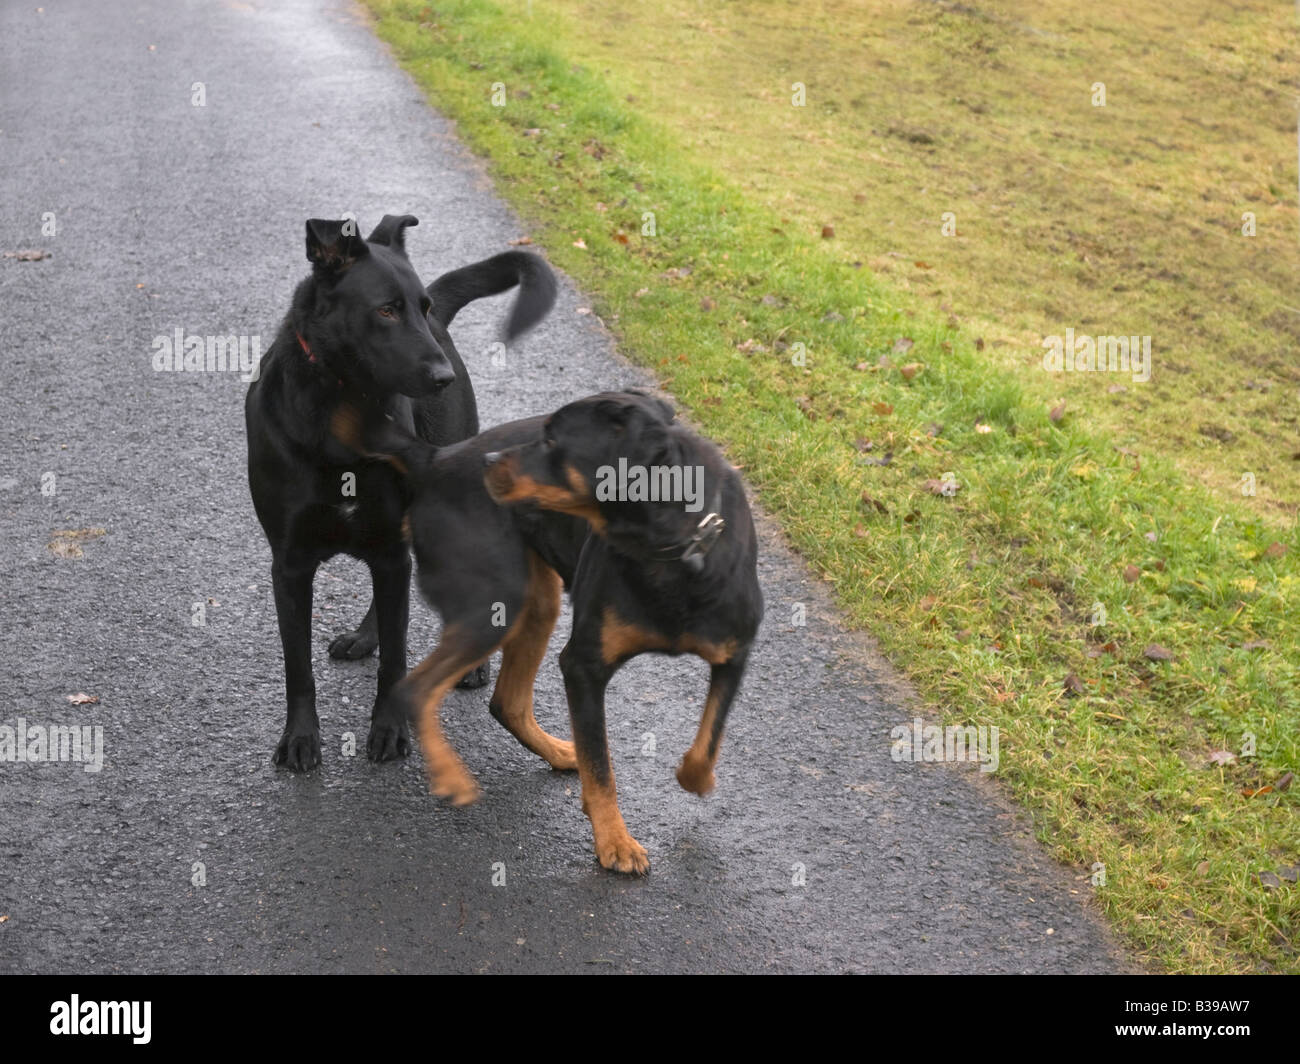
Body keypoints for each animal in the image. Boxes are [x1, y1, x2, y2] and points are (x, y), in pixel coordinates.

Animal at [246, 212, 553, 764]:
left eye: (420, 308)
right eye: (386, 310)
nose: (443, 377)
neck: (342, 413)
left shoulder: (389, 548)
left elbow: (394, 659)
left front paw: (389, 728)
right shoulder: (290, 564)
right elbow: (297, 665)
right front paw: (299, 737)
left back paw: (474, 663)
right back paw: (366, 636)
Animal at [335, 390, 759, 868]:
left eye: (553, 440)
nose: (489, 462)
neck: (671, 553)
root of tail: (436, 459)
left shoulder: (734, 655)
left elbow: (709, 739)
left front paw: (693, 778)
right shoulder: (583, 666)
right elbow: (601, 765)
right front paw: (615, 841)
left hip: (536, 602)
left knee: (507, 703)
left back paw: (556, 752)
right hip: (495, 603)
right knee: (418, 688)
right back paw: (451, 777)